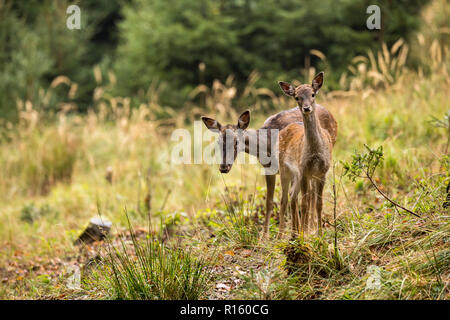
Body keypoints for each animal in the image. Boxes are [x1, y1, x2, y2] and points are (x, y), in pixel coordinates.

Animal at [276, 73, 336, 238]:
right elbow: (305, 203)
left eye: (313, 94)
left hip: (297, 175)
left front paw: (319, 233)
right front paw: (304, 235)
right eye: (297, 97)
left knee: (293, 196)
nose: (307, 108)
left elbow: (318, 203)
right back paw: (281, 235)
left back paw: (294, 232)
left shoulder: (322, 172)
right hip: (284, 169)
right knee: (284, 199)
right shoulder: (303, 170)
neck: (315, 152)